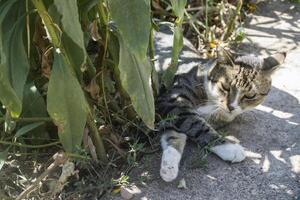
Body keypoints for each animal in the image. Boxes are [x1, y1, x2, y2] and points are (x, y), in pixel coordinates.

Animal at [155, 25, 286, 182]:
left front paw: (169, 166)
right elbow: (196, 125)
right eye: (226, 87)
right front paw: (230, 147)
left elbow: (174, 134)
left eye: (250, 95)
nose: (231, 106)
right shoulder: (172, 99)